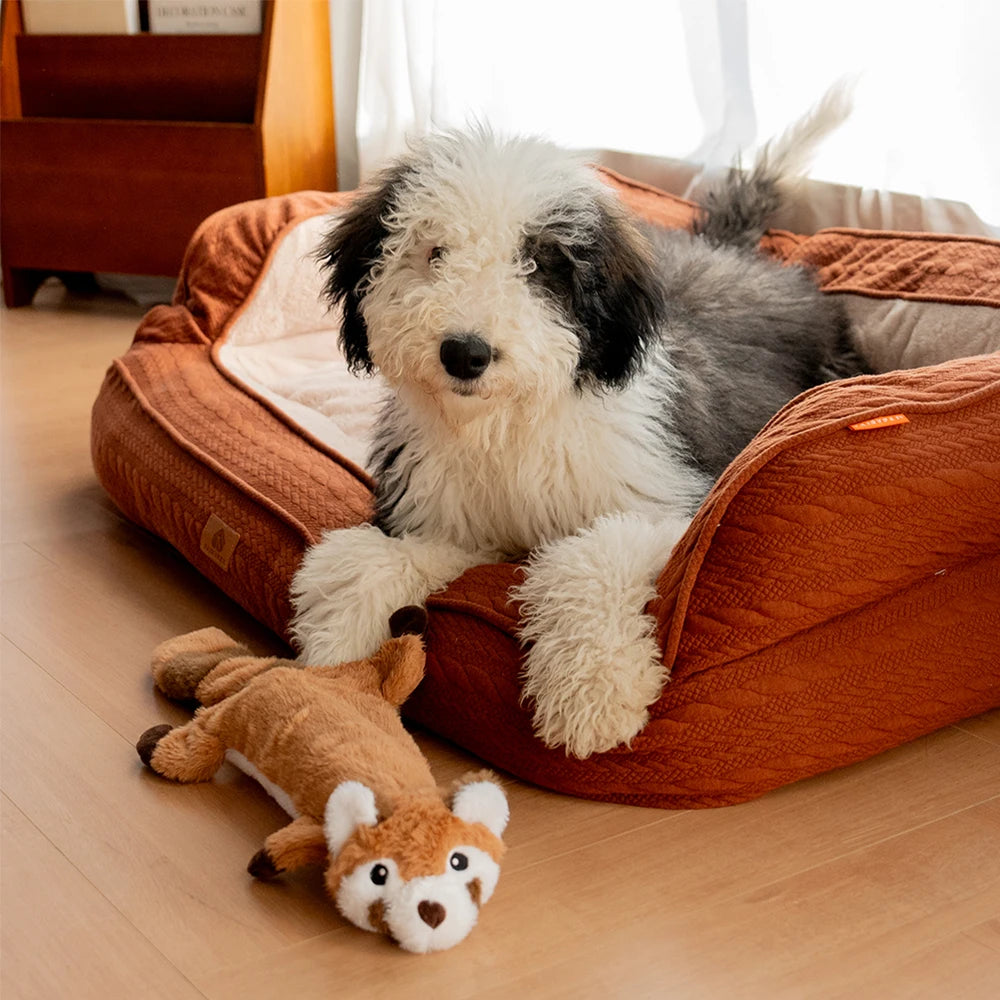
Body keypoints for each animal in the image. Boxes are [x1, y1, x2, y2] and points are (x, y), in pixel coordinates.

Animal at [292, 88, 868, 756]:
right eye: (435, 253)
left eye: (541, 265)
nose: (465, 352)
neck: (510, 423)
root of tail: (726, 248)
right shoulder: (442, 515)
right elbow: (368, 559)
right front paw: (336, 649)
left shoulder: (673, 510)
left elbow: (587, 556)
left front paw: (591, 696)